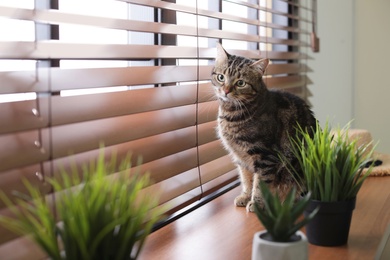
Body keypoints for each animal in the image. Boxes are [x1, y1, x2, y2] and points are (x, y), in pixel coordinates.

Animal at [210, 43, 316, 212]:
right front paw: (245, 197)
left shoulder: (265, 156)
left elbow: (260, 184)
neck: (232, 114)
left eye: (241, 83)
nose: (225, 91)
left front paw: (256, 204)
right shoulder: (241, 158)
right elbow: (246, 179)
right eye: (221, 77)